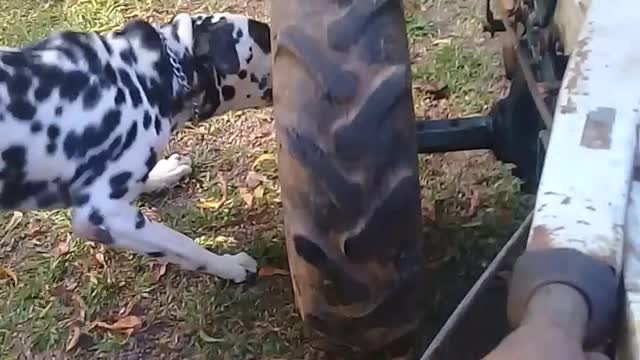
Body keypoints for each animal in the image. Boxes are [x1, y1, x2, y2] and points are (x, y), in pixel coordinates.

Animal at [0, 12, 272, 284]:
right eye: (265, 36)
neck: (141, 77)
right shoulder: (104, 216)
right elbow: (184, 246)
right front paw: (229, 265)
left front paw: (163, 173)